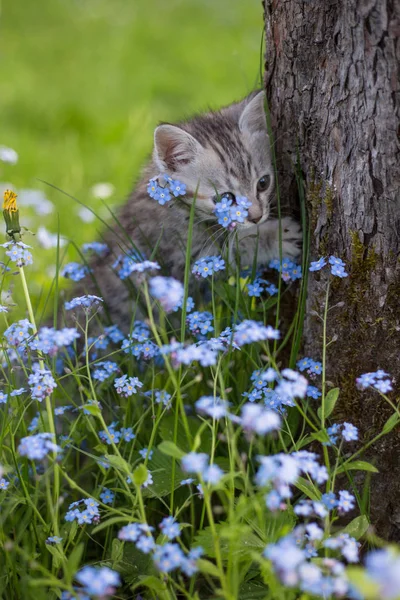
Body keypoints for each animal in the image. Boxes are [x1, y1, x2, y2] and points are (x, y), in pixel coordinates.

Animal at [78, 92, 300, 328]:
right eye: (225, 198)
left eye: (263, 183)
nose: (257, 217)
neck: (175, 206)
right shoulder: (178, 264)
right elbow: (232, 249)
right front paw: (277, 236)